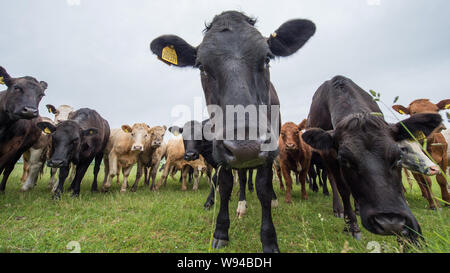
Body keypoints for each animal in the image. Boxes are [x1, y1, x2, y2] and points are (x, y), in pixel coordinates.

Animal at [149, 11, 314, 253]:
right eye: (201, 66)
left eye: (267, 58)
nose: (245, 146)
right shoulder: (222, 155)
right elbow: (225, 185)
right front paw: (220, 231)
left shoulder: (268, 152)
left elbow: (263, 188)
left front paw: (269, 239)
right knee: (243, 179)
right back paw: (242, 204)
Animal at [302, 74, 442, 242]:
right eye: (344, 160)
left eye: (398, 157)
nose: (389, 223)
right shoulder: (330, 155)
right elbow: (343, 189)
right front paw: (352, 226)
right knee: (331, 180)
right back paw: (338, 208)